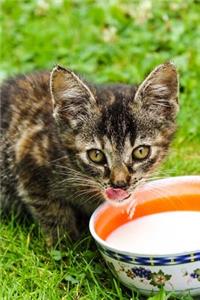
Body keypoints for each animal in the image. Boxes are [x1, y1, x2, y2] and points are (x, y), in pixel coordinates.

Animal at [0, 62, 178, 245]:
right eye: (96, 155)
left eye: (141, 152)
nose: (119, 184)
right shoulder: (29, 159)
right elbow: (52, 212)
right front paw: (66, 245)